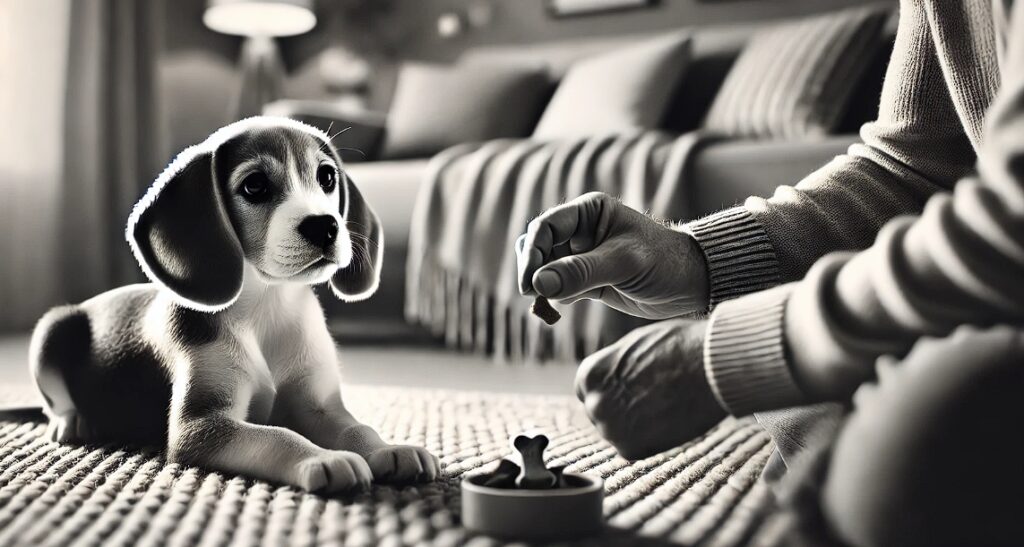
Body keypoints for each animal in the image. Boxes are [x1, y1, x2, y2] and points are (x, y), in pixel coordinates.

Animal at [29, 117, 438, 495]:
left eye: (326, 177)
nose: (325, 226)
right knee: (56, 400)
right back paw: (72, 422)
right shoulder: (201, 425)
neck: (268, 305)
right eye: (254, 185)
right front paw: (324, 459)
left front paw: (390, 450)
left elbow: (358, 428)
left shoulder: (320, 407)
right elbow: (278, 436)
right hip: (51, 328)